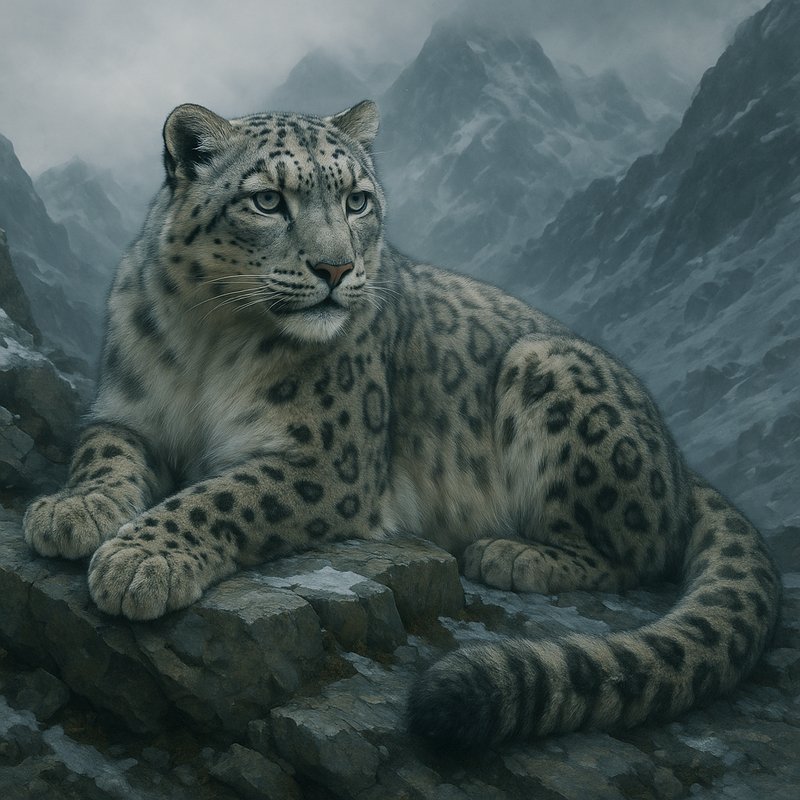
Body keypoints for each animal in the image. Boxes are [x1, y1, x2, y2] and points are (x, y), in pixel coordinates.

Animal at [23, 99, 781, 748]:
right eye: (268, 200)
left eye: (357, 200)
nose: (336, 268)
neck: (212, 340)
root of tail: (681, 461)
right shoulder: (127, 412)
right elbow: (103, 453)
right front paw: (74, 511)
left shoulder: (329, 461)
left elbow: (222, 496)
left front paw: (140, 559)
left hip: (547, 364)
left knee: (636, 552)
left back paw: (512, 553)